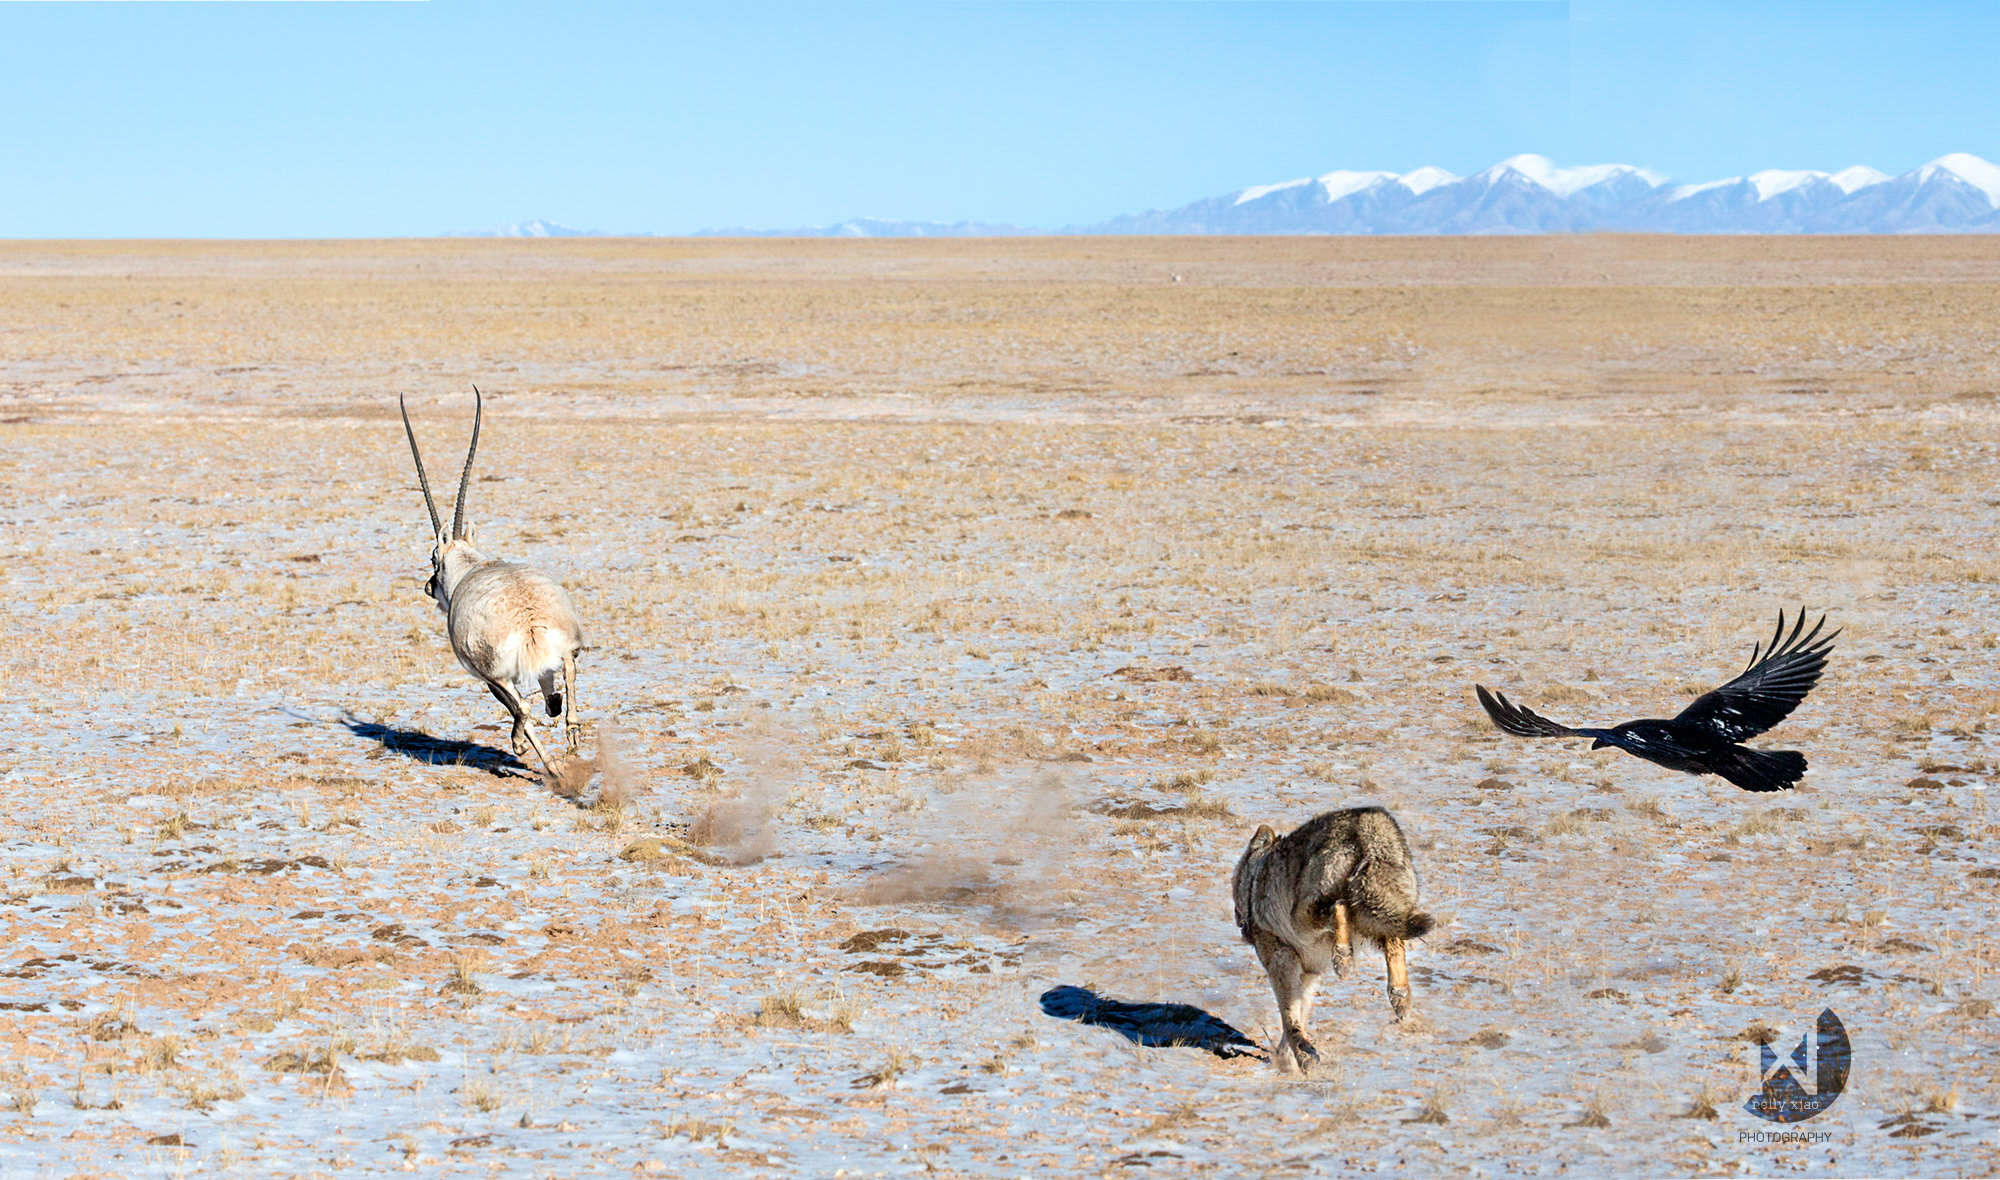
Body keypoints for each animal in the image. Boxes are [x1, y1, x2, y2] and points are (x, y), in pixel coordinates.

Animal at [398, 388, 584, 792]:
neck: (473, 566)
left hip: (496, 674)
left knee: (523, 709)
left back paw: (541, 760)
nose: (429, 587)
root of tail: (529, 621)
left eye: (434, 557)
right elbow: (551, 697)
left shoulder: (485, 677)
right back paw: (573, 739)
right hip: (564, 649)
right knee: (564, 678)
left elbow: (516, 707)